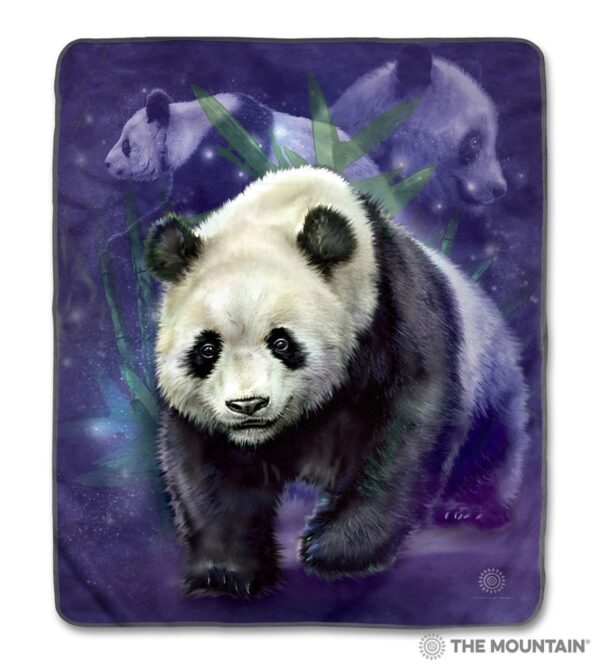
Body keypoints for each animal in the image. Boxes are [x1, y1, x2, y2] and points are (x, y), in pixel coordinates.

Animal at [144, 166, 528, 599]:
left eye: (281, 342)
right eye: (207, 349)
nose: (248, 405)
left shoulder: (394, 311)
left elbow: (408, 426)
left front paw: (340, 550)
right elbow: (210, 463)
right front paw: (225, 571)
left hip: (490, 380)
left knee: (490, 443)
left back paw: (469, 507)